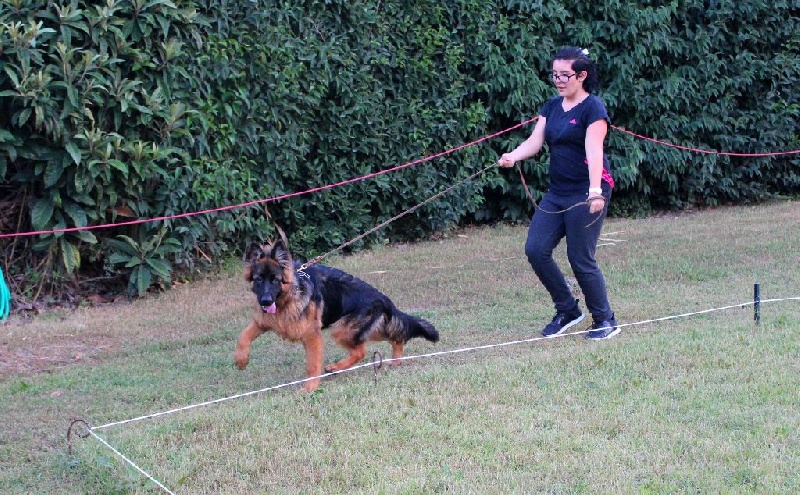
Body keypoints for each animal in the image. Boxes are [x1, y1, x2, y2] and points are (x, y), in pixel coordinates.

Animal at [234, 242, 440, 394]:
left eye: (275, 279)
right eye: (259, 279)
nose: (265, 301)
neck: (288, 297)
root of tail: (382, 298)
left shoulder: (312, 336)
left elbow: (312, 365)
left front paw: (310, 388)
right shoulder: (262, 322)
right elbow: (243, 336)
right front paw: (241, 360)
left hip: (342, 330)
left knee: (361, 351)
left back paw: (337, 367)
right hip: (364, 329)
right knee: (395, 337)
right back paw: (395, 360)